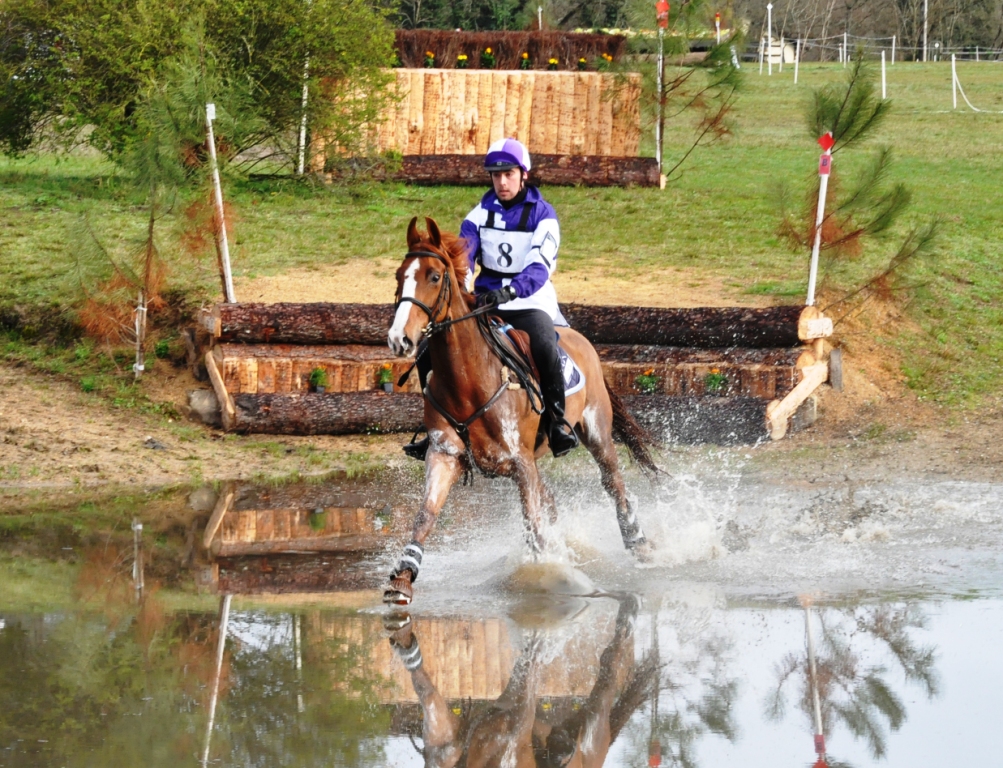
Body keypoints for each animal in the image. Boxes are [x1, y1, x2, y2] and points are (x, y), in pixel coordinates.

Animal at [383, 216, 657, 609]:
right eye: (398, 275)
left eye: (434, 276)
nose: (399, 339)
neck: (469, 379)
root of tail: (579, 339)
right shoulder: (445, 455)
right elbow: (426, 515)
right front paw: (403, 578)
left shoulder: (520, 463)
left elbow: (534, 526)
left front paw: (549, 577)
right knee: (553, 502)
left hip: (596, 433)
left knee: (612, 482)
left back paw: (639, 543)